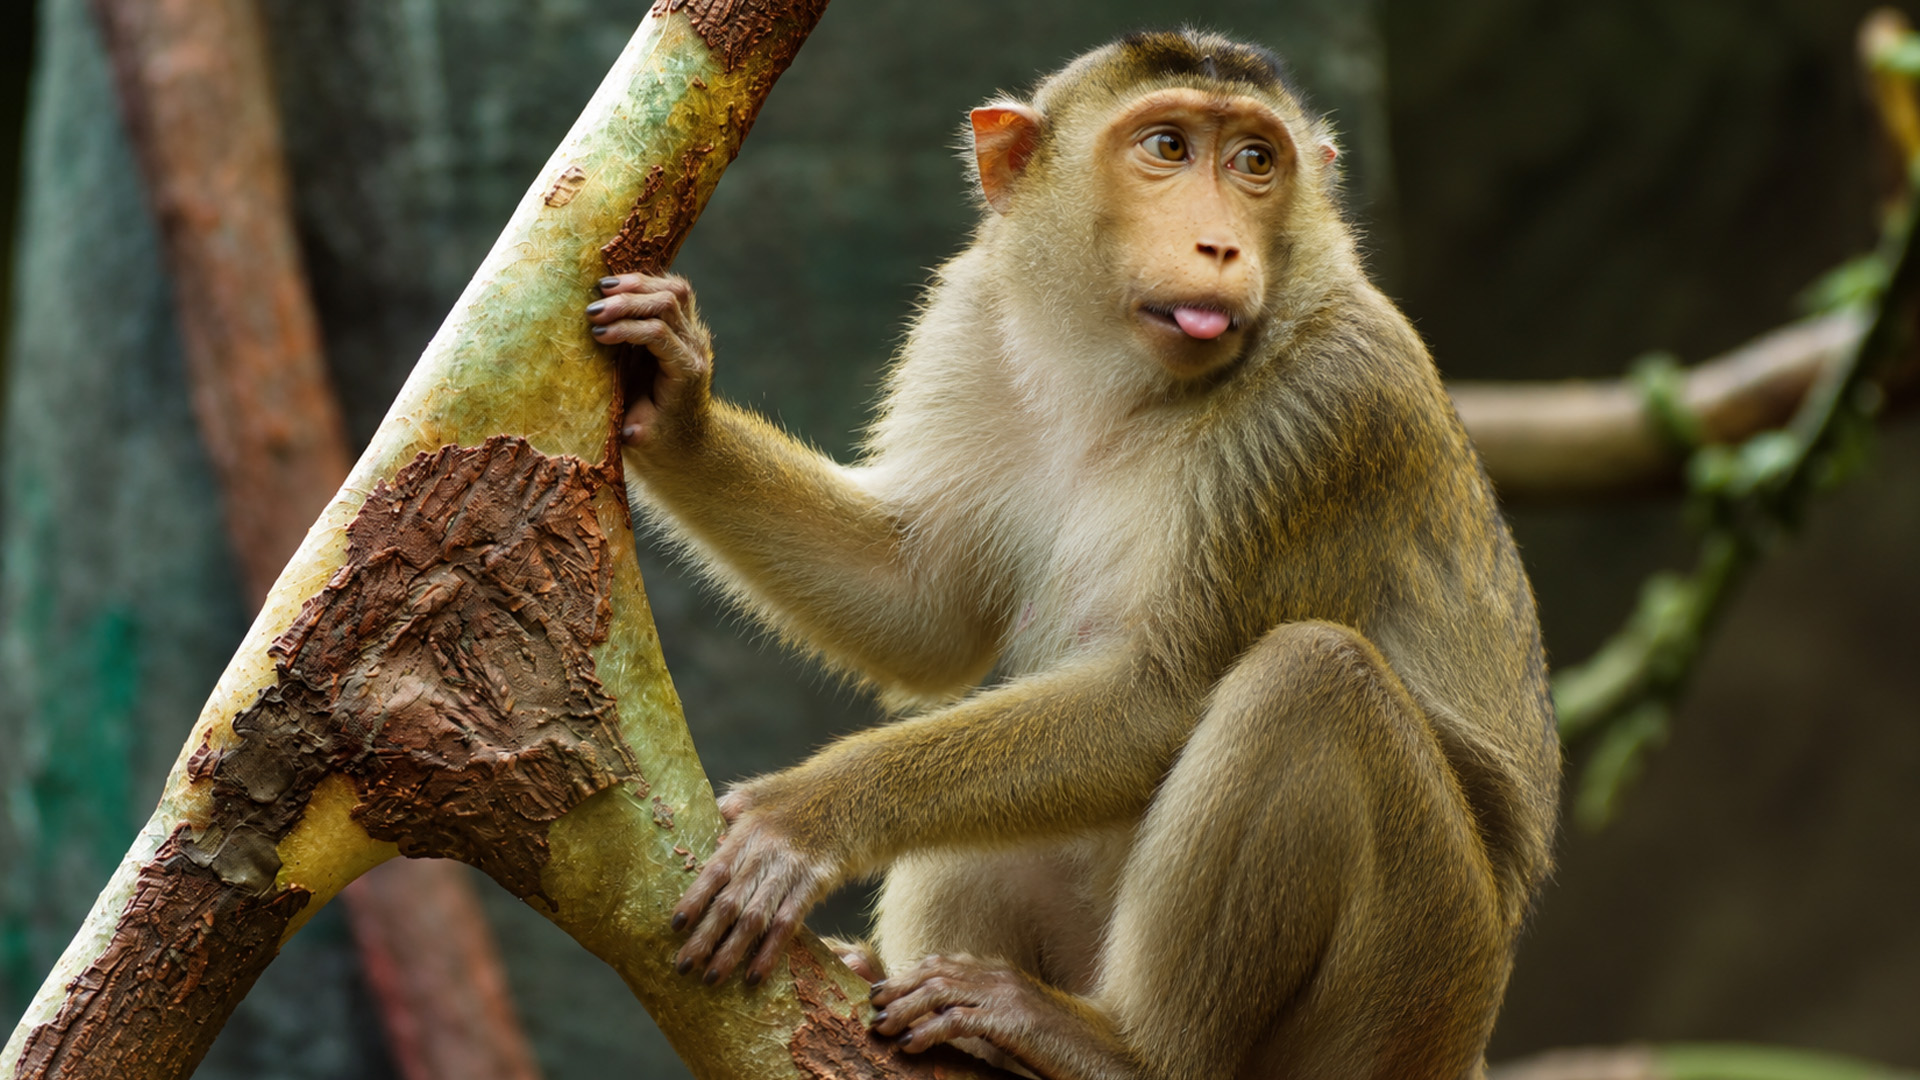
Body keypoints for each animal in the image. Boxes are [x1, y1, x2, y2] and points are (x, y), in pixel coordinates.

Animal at [584, 28, 1559, 1080]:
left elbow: (1163, 695)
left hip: (1408, 994)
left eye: (1255, 162)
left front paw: (811, 815)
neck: (1126, 382)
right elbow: (923, 606)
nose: (1220, 244)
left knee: (1313, 680)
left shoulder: (1326, 413)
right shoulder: (971, 317)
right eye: (1168, 147)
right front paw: (678, 409)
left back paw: (1123, 1048)